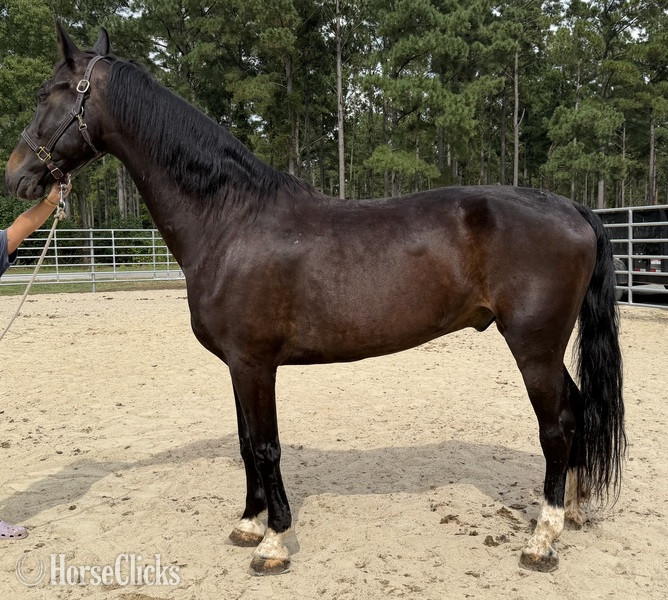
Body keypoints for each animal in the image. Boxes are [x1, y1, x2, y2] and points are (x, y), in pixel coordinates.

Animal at [5, 24, 625, 575]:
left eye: (48, 92)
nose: (17, 177)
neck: (230, 220)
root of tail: (570, 207)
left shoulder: (255, 364)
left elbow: (266, 446)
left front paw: (273, 544)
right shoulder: (237, 366)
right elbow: (245, 443)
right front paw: (248, 524)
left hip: (533, 347)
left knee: (557, 426)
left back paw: (542, 539)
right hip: (544, 349)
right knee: (577, 413)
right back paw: (570, 513)